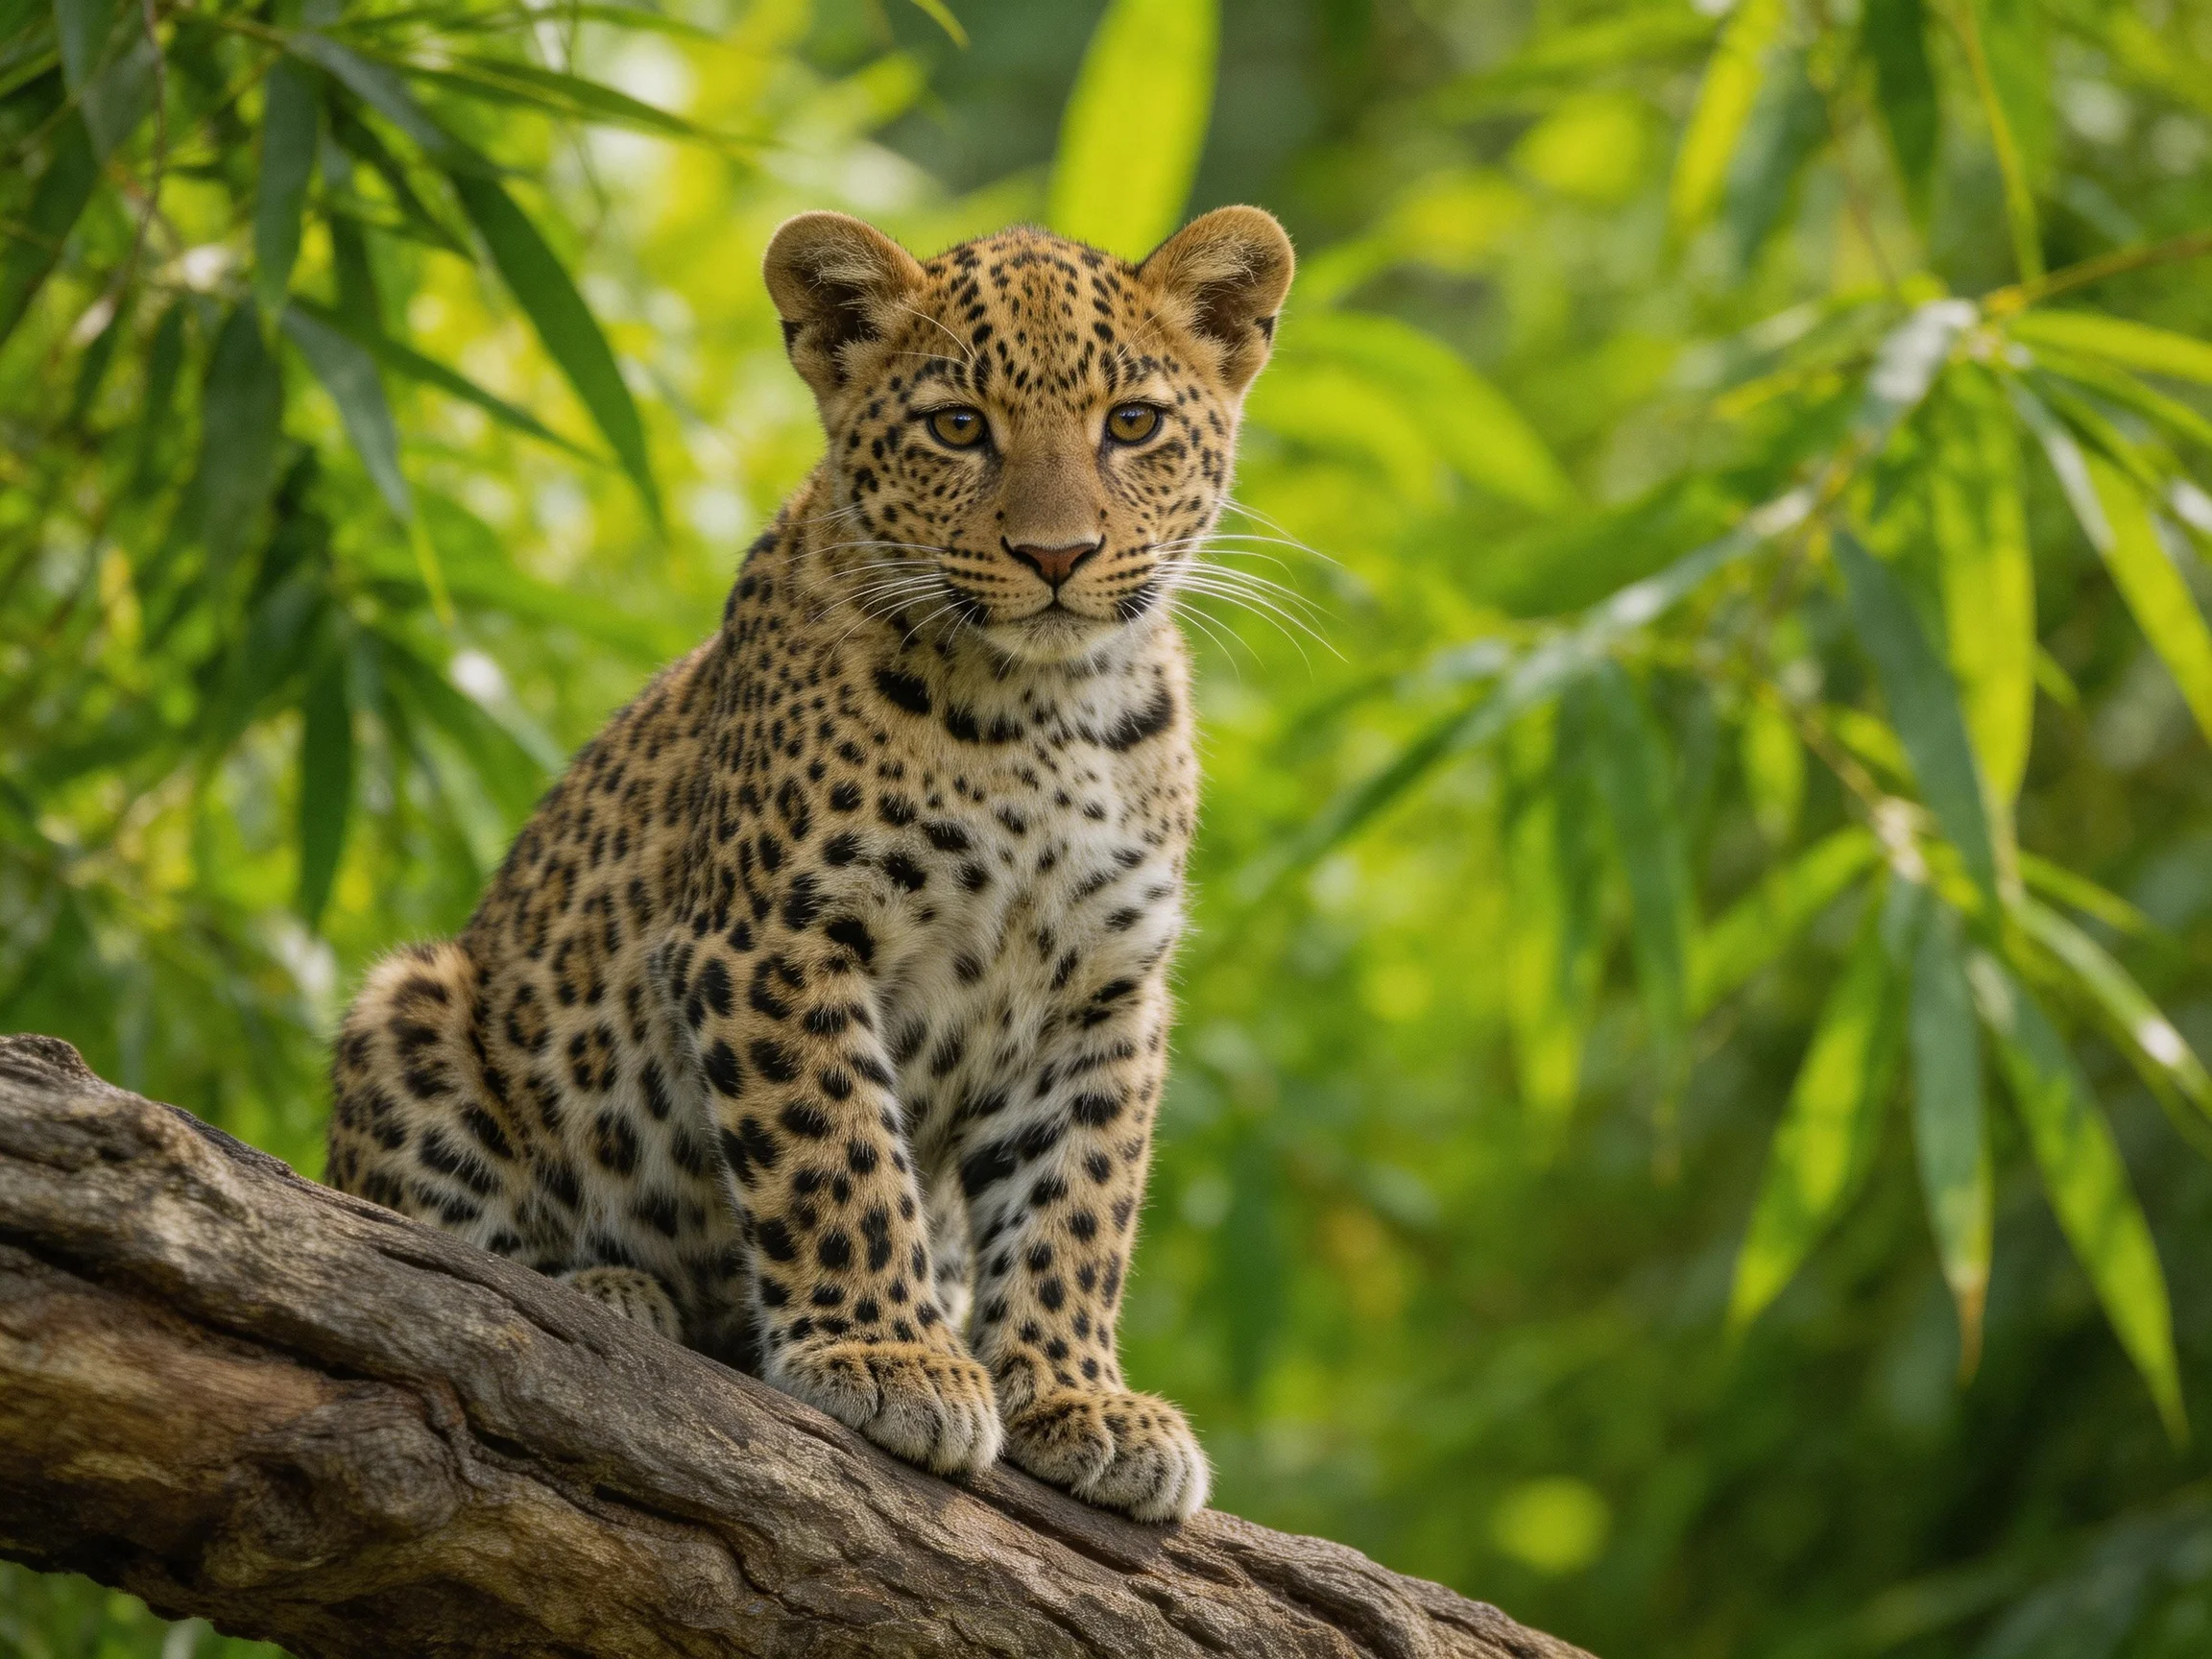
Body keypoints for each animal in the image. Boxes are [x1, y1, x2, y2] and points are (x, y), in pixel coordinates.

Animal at [323, 205, 1294, 1524]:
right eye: (958, 427)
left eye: (1132, 424)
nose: (1057, 554)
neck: (1048, 714)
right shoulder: (777, 941)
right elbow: (838, 1157)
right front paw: (890, 1356)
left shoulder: (1105, 990)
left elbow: (1080, 1200)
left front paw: (1076, 1395)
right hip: (414, 1000)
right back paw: (607, 1287)